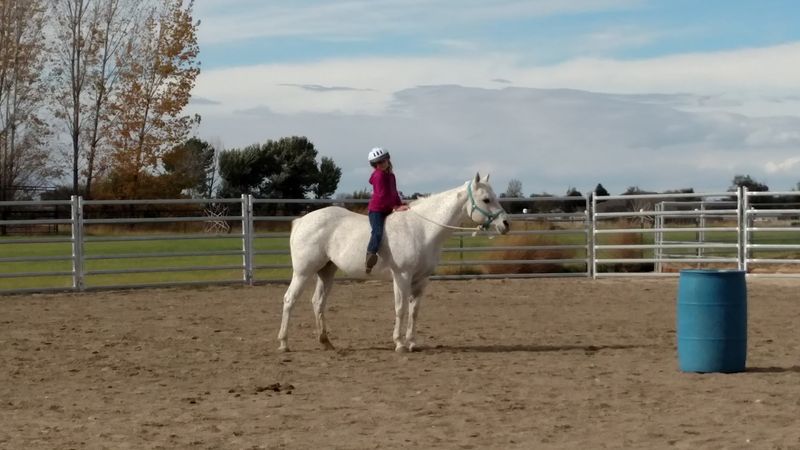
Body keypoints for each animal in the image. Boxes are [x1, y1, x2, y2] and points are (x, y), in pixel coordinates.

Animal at [277, 173, 510, 353]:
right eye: (486, 199)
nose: (506, 224)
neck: (422, 229)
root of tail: (302, 220)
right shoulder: (402, 276)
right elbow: (400, 308)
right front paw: (399, 343)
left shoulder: (421, 279)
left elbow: (414, 310)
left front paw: (412, 342)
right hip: (303, 272)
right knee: (289, 300)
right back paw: (283, 343)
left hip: (326, 271)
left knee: (318, 303)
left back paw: (326, 342)